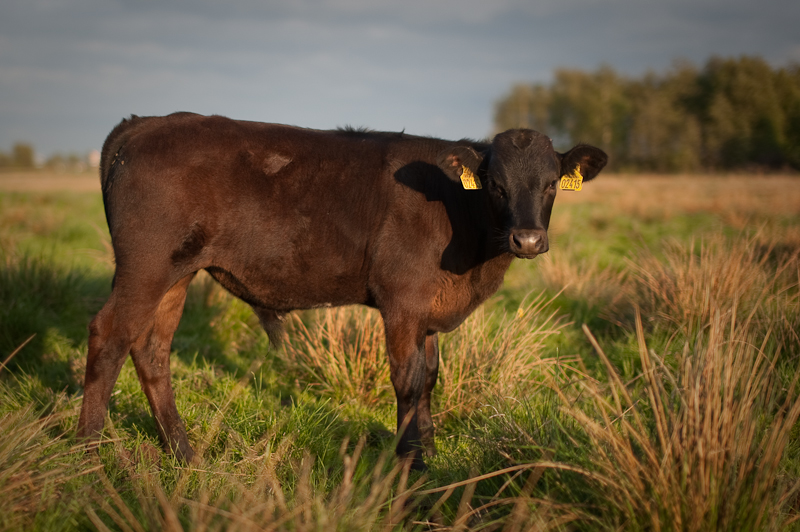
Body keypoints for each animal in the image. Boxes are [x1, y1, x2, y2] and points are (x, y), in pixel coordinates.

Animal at [76, 113, 608, 470]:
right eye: (496, 185)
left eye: (551, 185)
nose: (528, 240)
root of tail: (145, 123)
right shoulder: (403, 303)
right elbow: (408, 381)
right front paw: (411, 465)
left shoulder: (430, 311)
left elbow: (430, 380)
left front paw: (431, 455)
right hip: (145, 267)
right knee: (108, 336)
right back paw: (89, 453)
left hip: (177, 273)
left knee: (151, 349)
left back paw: (184, 454)